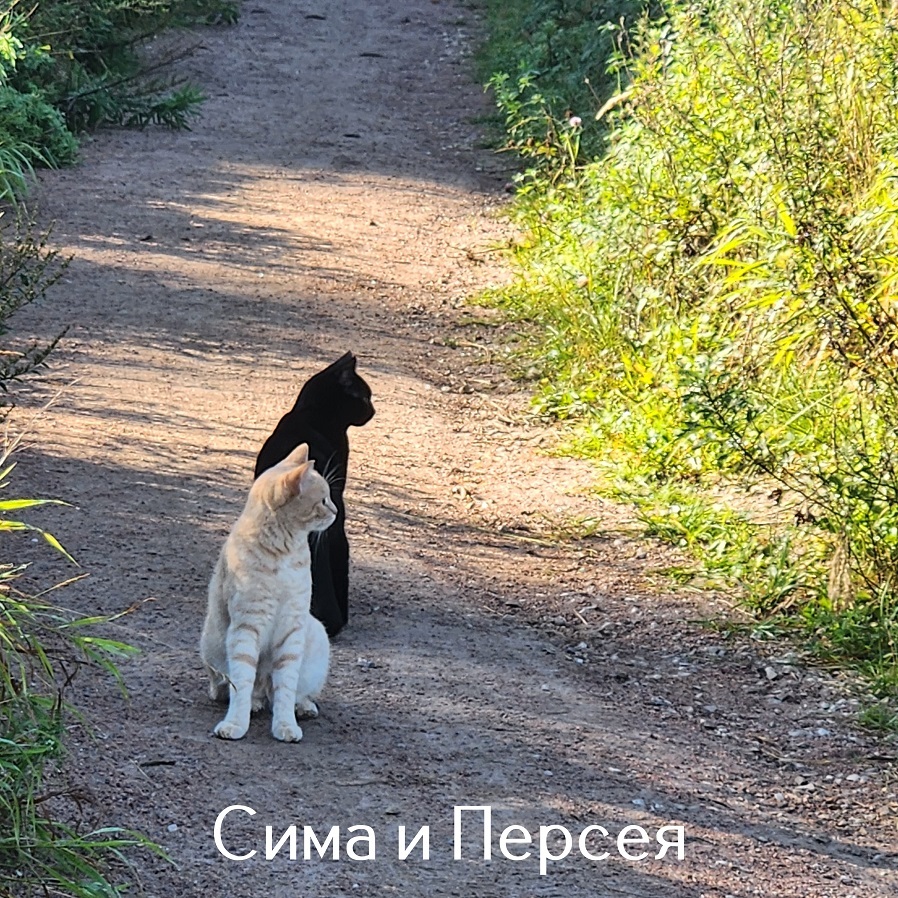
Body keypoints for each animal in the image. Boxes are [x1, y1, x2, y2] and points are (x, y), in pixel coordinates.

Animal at [200, 442, 336, 742]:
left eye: (330, 498)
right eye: (323, 500)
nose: (335, 511)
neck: (284, 553)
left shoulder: (292, 627)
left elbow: (285, 687)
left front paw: (286, 726)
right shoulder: (246, 625)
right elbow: (242, 681)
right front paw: (235, 724)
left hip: (315, 635)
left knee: (290, 693)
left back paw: (303, 707)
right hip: (211, 646)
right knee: (232, 688)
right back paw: (253, 703)